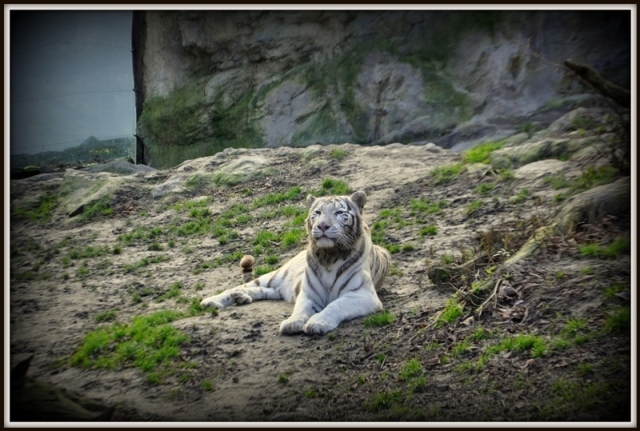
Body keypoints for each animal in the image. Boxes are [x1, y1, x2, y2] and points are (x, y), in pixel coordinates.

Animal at [201, 191, 390, 336]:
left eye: (338, 213)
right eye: (318, 212)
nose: (322, 226)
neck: (329, 256)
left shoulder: (363, 294)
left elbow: (335, 305)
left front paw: (318, 323)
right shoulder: (308, 293)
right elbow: (301, 308)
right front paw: (293, 322)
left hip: (279, 288)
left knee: (264, 291)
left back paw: (241, 297)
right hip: (274, 276)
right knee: (241, 286)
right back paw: (213, 301)